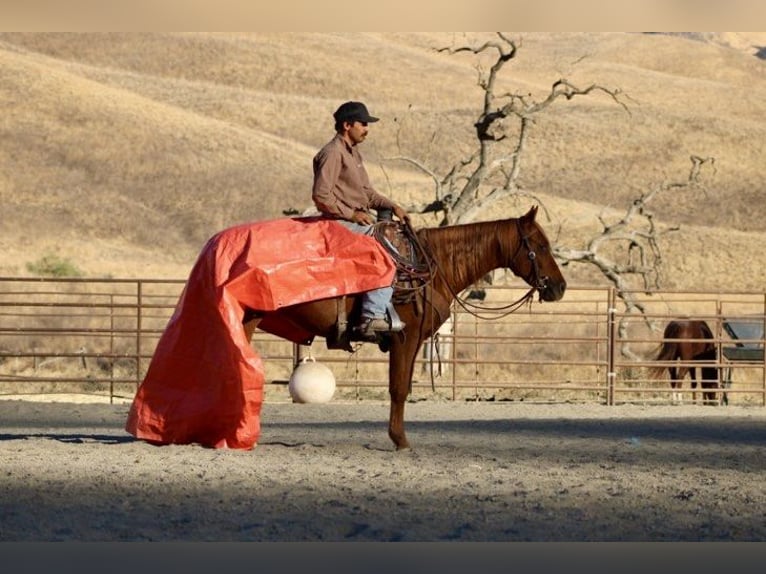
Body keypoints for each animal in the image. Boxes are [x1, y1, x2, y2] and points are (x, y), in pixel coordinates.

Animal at [243, 206, 567, 450]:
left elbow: (405, 386)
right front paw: (400, 440)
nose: (560, 287)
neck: (435, 266)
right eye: (540, 245)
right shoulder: (404, 337)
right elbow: (398, 388)